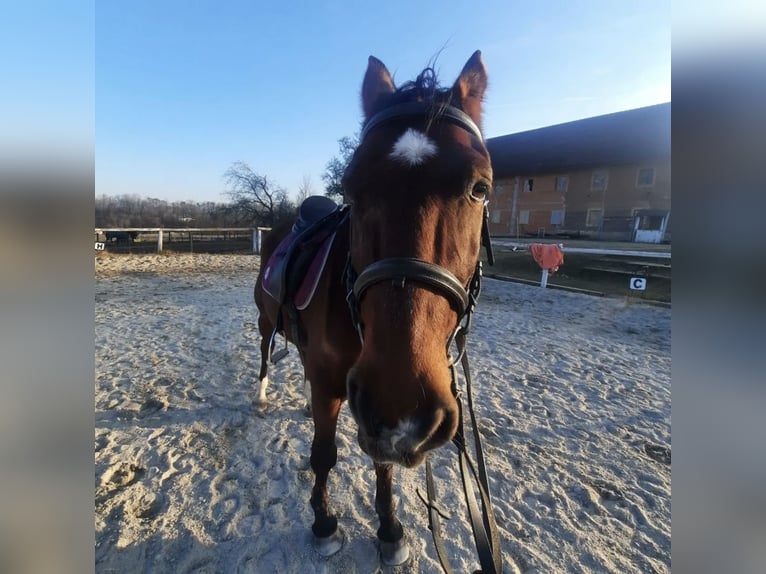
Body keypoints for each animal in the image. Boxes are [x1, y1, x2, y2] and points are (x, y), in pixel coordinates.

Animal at [254, 51, 500, 570]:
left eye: (480, 188)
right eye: (351, 187)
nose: (403, 404)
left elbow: (382, 464)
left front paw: (389, 530)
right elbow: (323, 455)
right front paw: (324, 523)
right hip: (266, 323)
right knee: (265, 354)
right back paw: (261, 396)